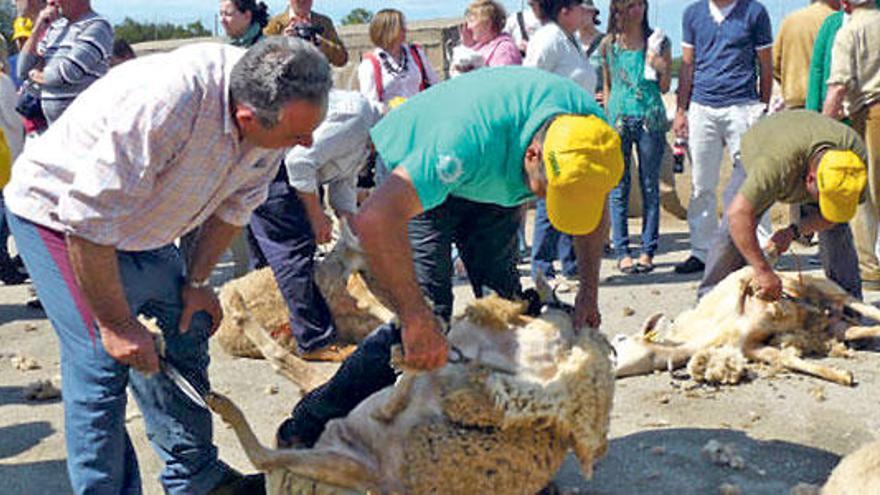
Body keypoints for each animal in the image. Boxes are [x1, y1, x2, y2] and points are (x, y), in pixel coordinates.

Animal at [616, 268, 880, 388]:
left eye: (619, 341)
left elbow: (744, 284)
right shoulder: (752, 348)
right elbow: (785, 359)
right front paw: (842, 376)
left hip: (830, 288)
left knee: (865, 308)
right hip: (837, 325)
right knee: (858, 330)